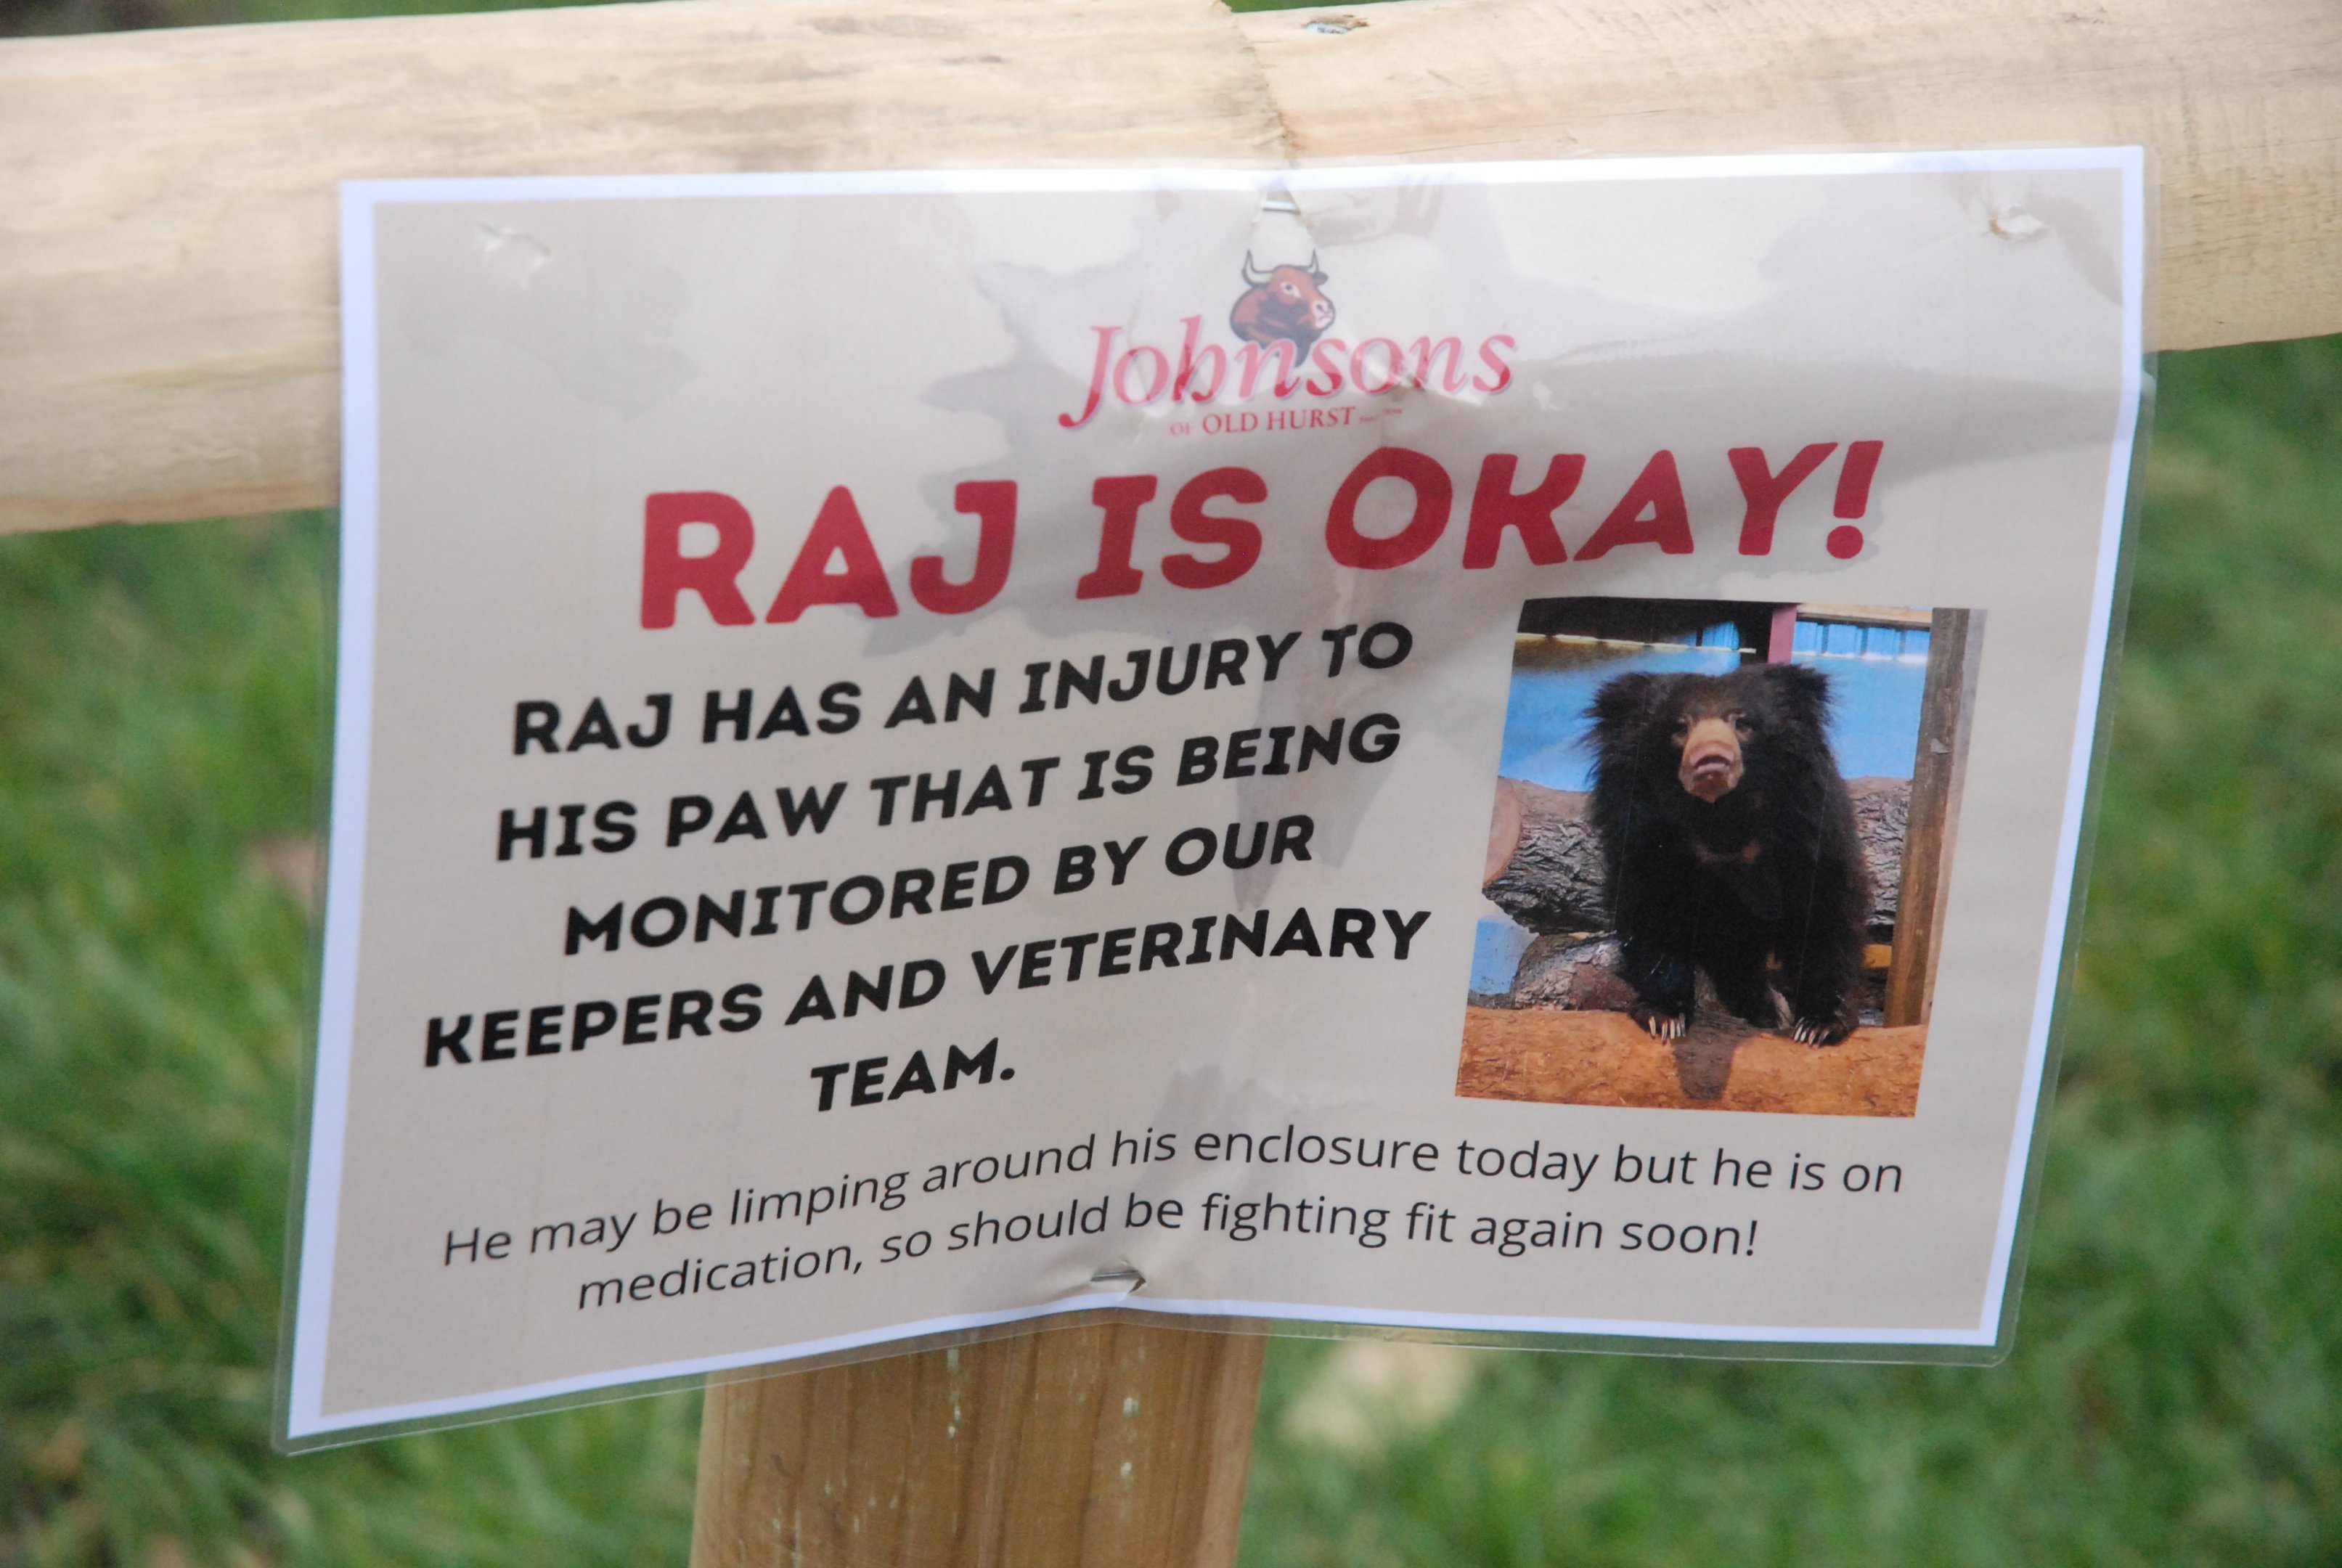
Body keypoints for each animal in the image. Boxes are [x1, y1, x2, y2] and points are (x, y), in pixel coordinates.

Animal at [1585, 663, 1869, 1046]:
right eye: (1680, 728)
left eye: (1742, 723)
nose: (1711, 758)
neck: (1721, 817)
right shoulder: (1643, 835)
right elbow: (1651, 913)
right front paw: (1664, 1016)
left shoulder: (1809, 828)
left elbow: (1825, 911)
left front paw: (1819, 1025)